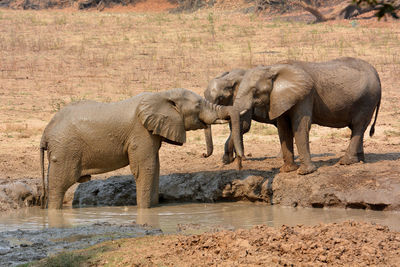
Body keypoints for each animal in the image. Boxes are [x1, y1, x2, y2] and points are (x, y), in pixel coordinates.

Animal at [40, 89, 241, 210]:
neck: (163, 94)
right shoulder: (141, 133)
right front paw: (144, 210)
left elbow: (155, 167)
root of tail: (46, 132)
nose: (204, 154)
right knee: (60, 184)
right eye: (198, 105)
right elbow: (145, 168)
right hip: (65, 149)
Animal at [228, 57, 382, 176]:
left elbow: (300, 126)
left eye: (255, 91)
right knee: (358, 128)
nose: (240, 166)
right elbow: (283, 129)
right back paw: (359, 161)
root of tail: (376, 74)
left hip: (367, 99)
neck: (273, 68)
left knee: (358, 126)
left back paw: (345, 162)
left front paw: (304, 172)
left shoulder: (305, 95)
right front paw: (287, 170)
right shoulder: (279, 98)